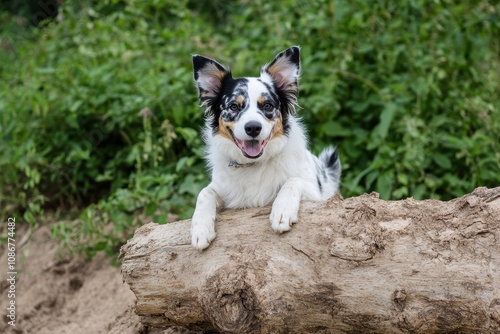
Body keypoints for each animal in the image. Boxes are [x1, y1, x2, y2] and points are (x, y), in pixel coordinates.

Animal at [190, 45, 340, 249]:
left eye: (267, 105)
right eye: (234, 106)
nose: (253, 127)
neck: (253, 164)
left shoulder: (315, 194)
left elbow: (293, 181)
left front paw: (283, 210)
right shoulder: (224, 189)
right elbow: (204, 193)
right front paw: (200, 229)